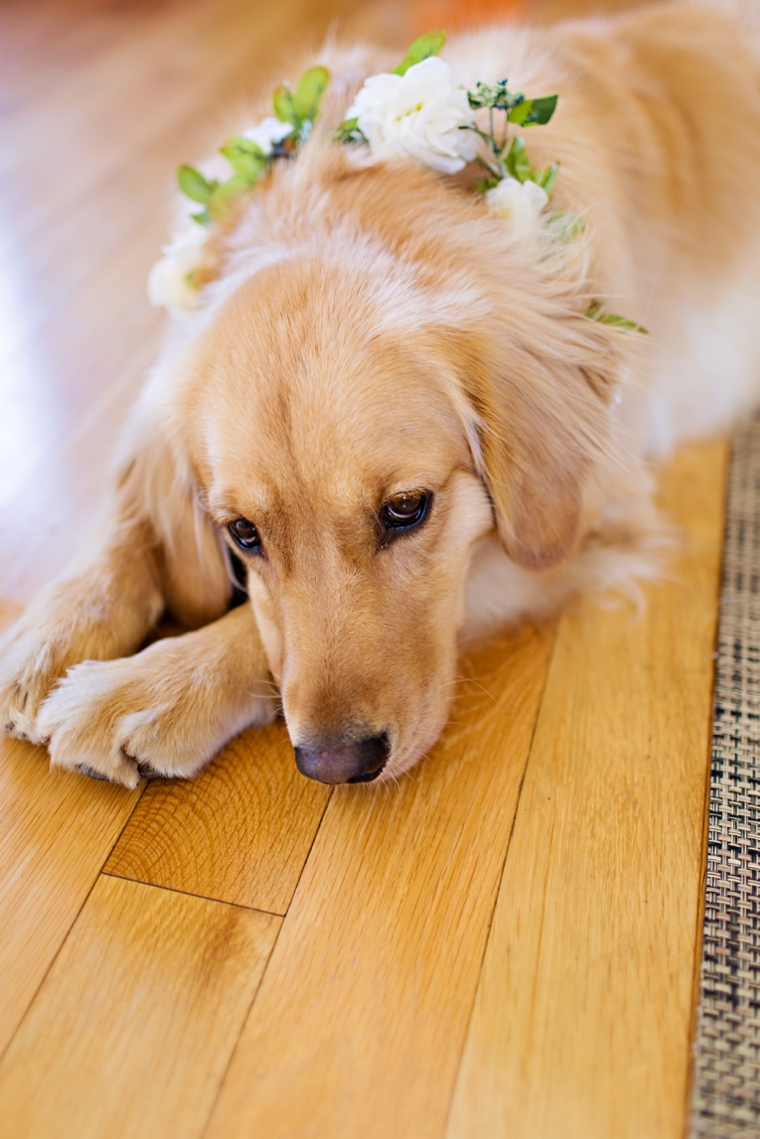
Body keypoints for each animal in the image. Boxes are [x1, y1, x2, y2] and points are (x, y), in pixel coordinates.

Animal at [1, 0, 760, 783]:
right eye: (242, 533)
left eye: (406, 510)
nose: (335, 763)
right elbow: (126, 516)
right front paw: (53, 630)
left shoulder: (587, 516)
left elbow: (258, 629)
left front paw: (146, 687)